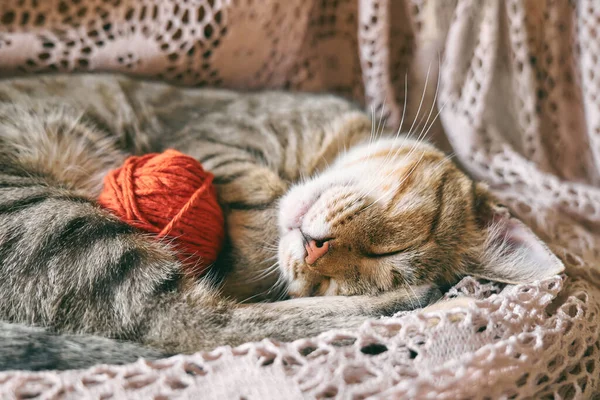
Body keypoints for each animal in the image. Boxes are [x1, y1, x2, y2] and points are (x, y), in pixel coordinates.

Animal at [0, 74, 564, 368]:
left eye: (337, 279)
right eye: (390, 245)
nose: (315, 251)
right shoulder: (217, 140)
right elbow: (257, 208)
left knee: (192, 328)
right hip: (46, 212)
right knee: (191, 329)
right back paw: (434, 303)